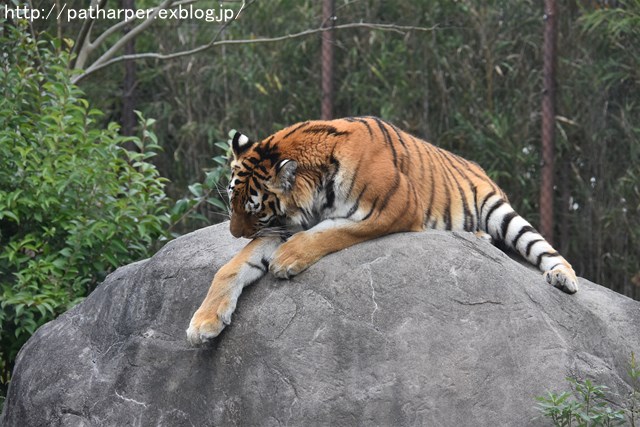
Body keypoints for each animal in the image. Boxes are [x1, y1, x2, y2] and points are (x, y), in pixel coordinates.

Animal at [186, 115, 580, 346]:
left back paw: (563, 279)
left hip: (501, 211)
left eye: (255, 211)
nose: (235, 234)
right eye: (233, 202)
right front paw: (203, 322)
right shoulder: (285, 224)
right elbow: (232, 267)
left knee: (543, 247)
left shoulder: (394, 208)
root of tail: (477, 165)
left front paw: (286, 259)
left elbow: (334, 232)